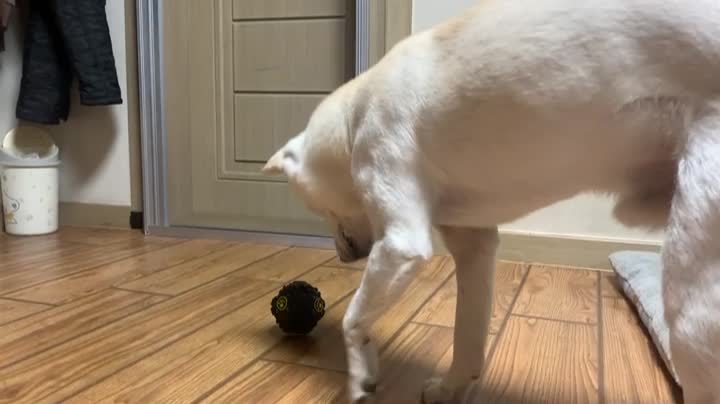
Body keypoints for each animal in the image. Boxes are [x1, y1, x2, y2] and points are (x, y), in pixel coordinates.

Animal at [262, 1, 720, 402]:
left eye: (319, 210)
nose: (346, 258)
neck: (353, 116)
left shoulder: (400, 242)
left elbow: (355, 319)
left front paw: (360, 376)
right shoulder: (475, 246)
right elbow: (468, 332)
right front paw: (450, 389)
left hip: (693, 304)